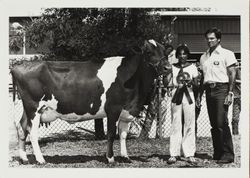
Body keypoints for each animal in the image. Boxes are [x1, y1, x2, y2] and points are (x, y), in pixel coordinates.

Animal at [10, 39, 170, 164]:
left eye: (164, 51)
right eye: (148, 52)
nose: (168, 67)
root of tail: (20, 65)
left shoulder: (127, 111)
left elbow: (123, 134)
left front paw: (126, 157)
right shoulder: (113, 108)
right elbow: (111, 133)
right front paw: (110, 158)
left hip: (27, 108)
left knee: (21, 127)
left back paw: (24, 158)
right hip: (33, 107)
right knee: (32, 131)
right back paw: (40, 159)